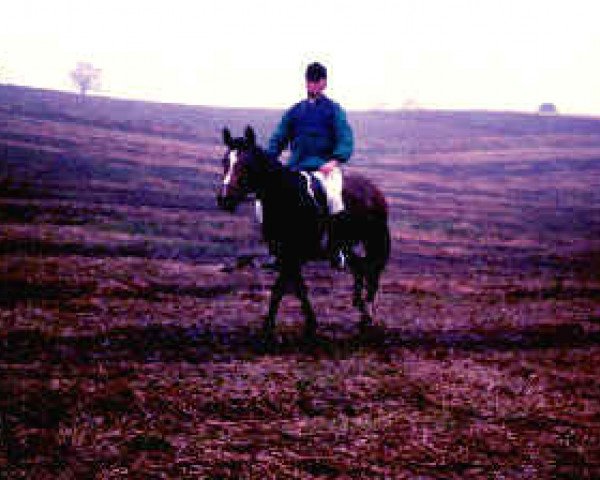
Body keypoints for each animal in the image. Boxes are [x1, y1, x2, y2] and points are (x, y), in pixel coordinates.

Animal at [216, 125, 390, 340]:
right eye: (224, 161)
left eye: (247, 164)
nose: (225, 199)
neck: (287, 199)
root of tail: (374, 192)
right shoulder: (286, 256)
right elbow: (298, 289)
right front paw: (310, 324)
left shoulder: (293, 255)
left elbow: (279, 289)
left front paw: (269, 329)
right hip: (347, 247)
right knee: (360, 269)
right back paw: (361, 311)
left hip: (375, 242)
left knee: (373, 274)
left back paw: (368, 317)